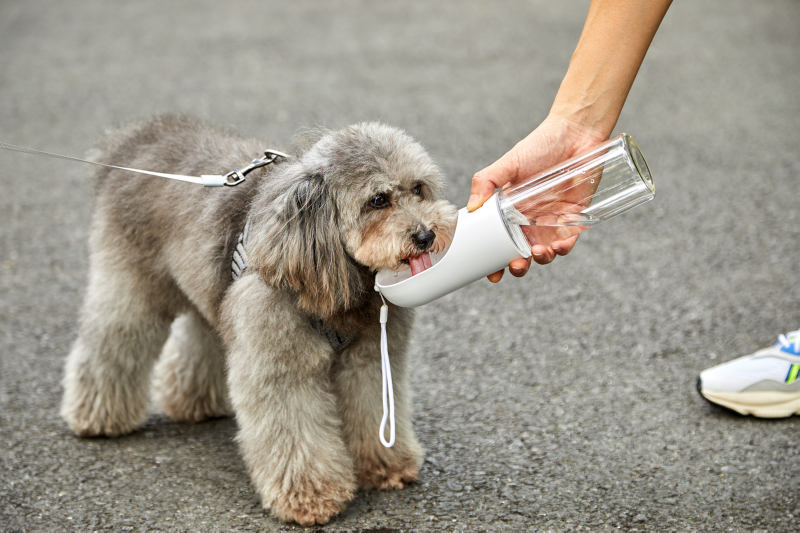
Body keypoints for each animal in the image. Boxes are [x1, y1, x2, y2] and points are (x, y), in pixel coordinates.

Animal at [61, 116, 456, 524]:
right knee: (112, 341)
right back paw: (98, 416)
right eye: (378, 200)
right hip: (133, 287)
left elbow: (371, 407)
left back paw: (194, 401)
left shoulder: (369, 361)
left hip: (216, 296)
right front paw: (310, 495)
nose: (426, 235)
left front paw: (384, 466)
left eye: (418, 188)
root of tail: (134, 140)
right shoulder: (280, 367)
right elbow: (295, 434)